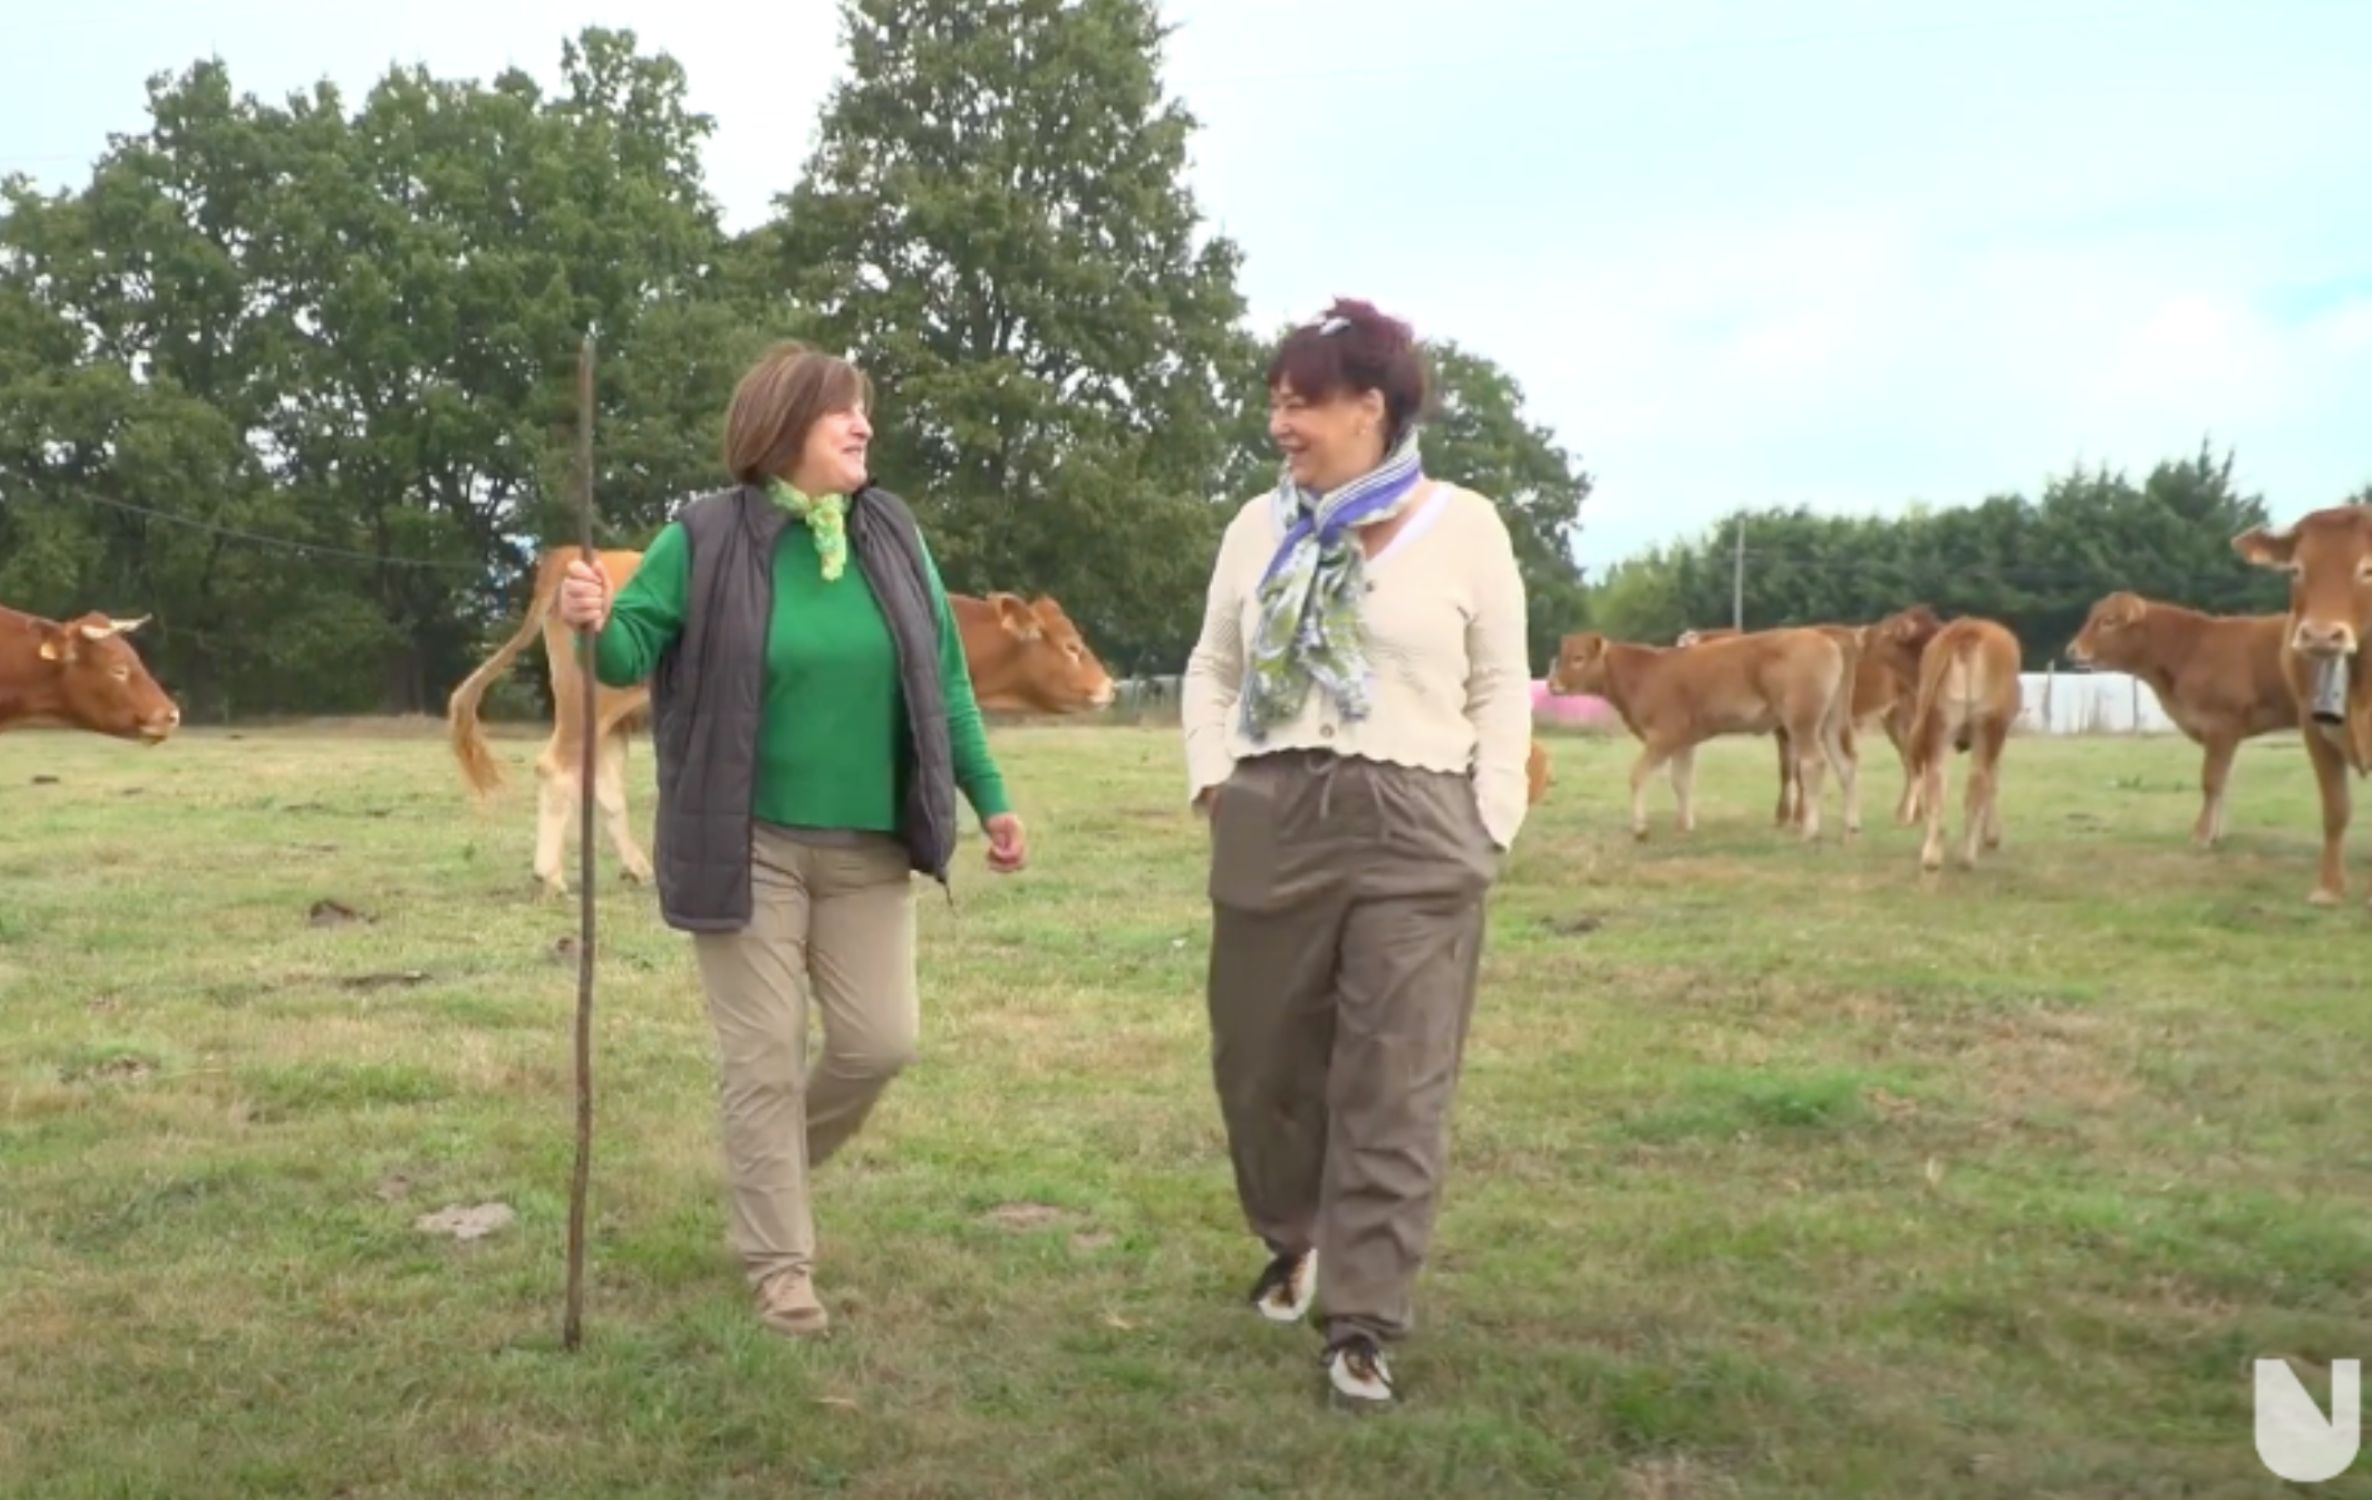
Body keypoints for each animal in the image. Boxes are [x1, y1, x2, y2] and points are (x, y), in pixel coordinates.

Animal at [1546, 626, 1859, 844]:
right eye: (1562, 656)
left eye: (1578, 658)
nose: (1552, 684)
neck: (1645, 672)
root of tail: (1823, 635)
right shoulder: (1683, 742)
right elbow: (1682, 781)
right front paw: (1684, 826)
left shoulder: (1663, 737)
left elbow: (1638, 776)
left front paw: (1640, 829)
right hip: (1830, 723)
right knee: (1846, 765)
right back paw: (1851, 827)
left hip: (1802, 723)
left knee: (1813, 764)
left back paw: (1810, 830)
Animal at [1907, 612, 2020, 873]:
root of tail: (1969, 627)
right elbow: (1993, 782)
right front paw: (1991, 838)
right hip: (1987, 728)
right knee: (1978, 781)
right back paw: (1967, 857)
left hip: (1939, 725)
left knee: (1937, 781)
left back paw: (1931, 856)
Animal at [2229, 503, 2372, 901]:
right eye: (2296, 569)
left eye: (2369, 569)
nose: (2321, 635)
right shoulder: (2314, 728)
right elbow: (2336, 809)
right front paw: (2329, 889)